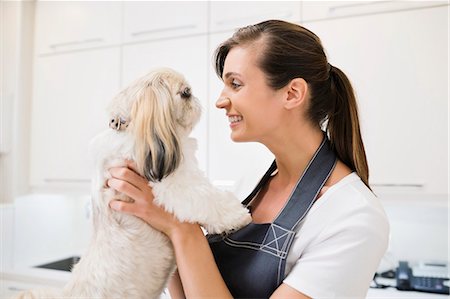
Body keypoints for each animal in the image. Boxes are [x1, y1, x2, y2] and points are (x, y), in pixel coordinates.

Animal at [14, 68, 251, 299]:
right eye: (185, 93)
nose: (196, 100)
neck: (129, 126)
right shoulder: (174, 185)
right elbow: (208, 198)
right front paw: (237, 216)